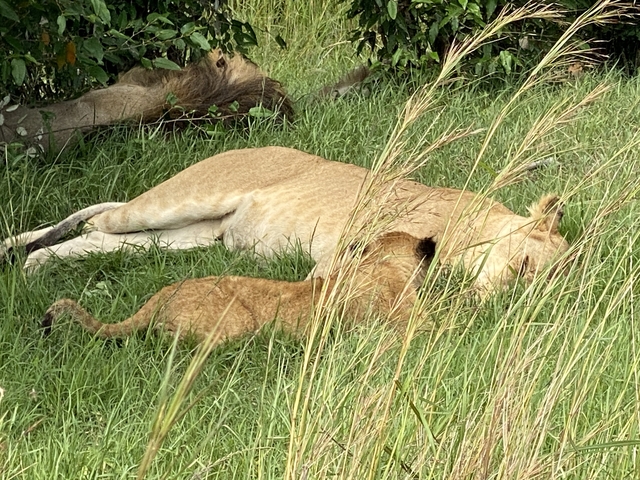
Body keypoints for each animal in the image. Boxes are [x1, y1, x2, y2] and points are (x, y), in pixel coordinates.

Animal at [2, 146, 568, 295]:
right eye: (524, 269)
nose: (493, 305)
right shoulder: (355, 242)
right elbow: (326, 282)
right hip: (181, 199)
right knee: (99, 218)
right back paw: (14, 251)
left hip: (185, 238)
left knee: (97, 238)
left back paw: (35, 268)